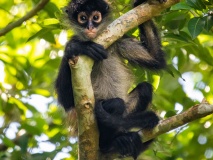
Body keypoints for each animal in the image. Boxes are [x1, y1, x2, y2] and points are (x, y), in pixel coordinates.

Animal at [55, 0, 166, 159]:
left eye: (96, 17)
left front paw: (139, 3)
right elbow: (66, 101)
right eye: (83, 18)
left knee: (143, 90)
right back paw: (109, 143)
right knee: (117, 104)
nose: (90, 27)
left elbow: (156, 59)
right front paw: (75, 47)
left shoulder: (118, 41)